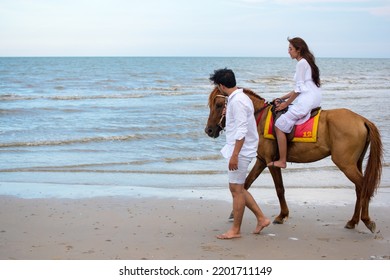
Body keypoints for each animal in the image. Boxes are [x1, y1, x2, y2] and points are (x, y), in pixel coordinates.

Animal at [206, 87, 382, 232]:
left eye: (219, 105)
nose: (209, 130)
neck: (259, 118)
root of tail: (361, 120)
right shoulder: (262, 161)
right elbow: (247, 184)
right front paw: (233, 212)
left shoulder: (271, 162)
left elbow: (279, 189)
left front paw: (282, 215)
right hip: (355, 163)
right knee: (360, 189)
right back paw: (353, 221)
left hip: (346, 164)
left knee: (364, 186)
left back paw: (366, 220)